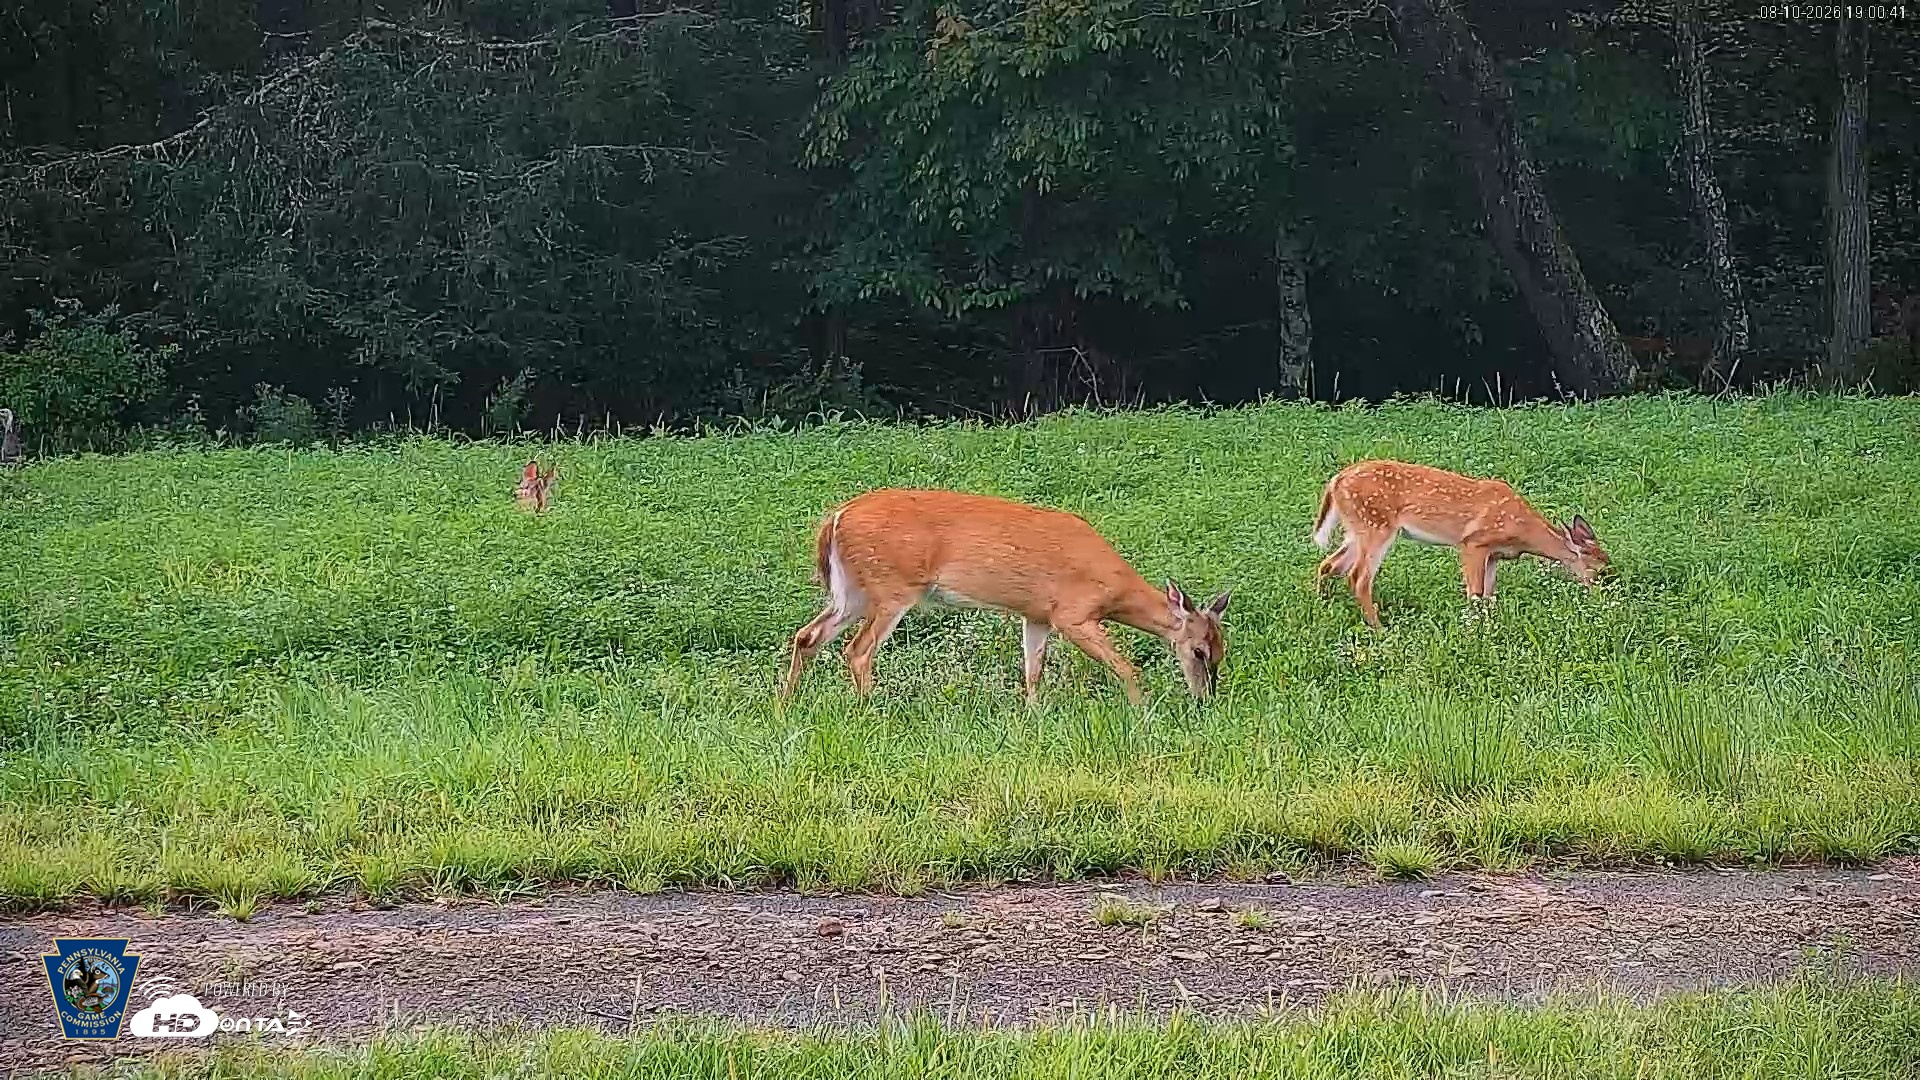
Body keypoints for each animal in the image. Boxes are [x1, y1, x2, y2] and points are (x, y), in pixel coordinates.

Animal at [781, 489, 1229, 707]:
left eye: (1222, 651)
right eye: (1199, 651)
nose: (1205, 700)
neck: (1114, 589)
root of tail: (834, 518)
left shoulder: (1038, 615)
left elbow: (1032, 670)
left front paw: (1033, 715)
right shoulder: (1072, 613)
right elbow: (1125, 666)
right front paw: (1142, 711)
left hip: (852, 592)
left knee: (808, 635)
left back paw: (786, 706)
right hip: (892, 587)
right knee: (858, 650)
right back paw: (872, 710)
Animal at [1312, 460, 1608, 628]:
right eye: (1600, 570)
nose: (1602, 596)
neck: (1522, 530)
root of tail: (1336, 480)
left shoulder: (1494, 555)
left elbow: (1489, 596)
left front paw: (1489, 625)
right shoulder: (1473, 543)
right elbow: (1475, 593)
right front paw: (1472, 628)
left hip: (1357, 529)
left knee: (1329, 564)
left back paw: (1323, 604)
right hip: (1376, 525)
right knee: (1358, 576)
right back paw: (1379, 628)